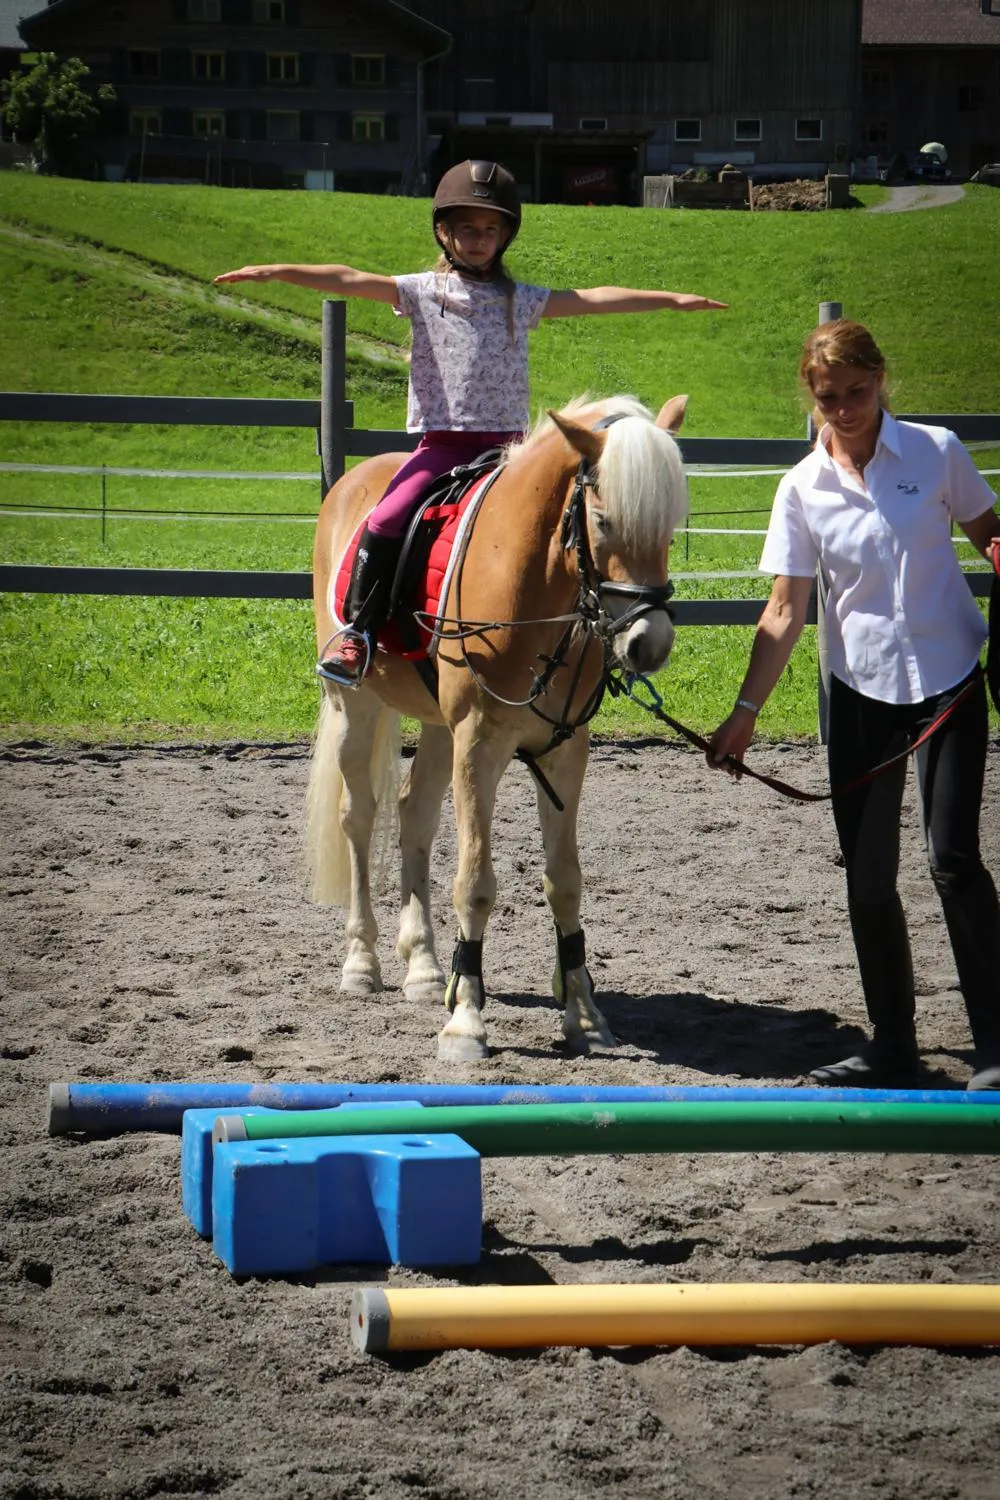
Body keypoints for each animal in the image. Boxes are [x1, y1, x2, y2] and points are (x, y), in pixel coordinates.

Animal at [306, 393, 689, 1062]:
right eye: (604, 521)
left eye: (668, 526)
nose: (650, 643)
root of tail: (351, 483)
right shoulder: (480, 744)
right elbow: (475, 883)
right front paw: (465, 1023)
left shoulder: (565, 750)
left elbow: (565, 881)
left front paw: (584, 1016)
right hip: (356, 707)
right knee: (359, 817)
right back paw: (362, 961)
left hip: (439, 726)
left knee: (413, 813)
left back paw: (425, 968)